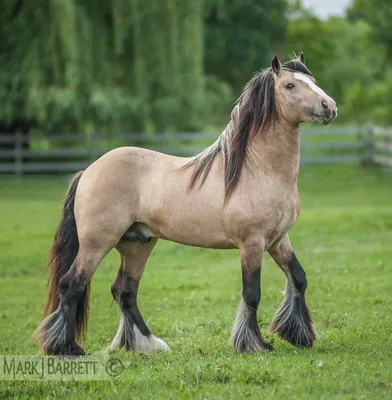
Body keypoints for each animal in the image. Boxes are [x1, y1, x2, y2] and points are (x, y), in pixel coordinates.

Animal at [33, 54, 336, 356]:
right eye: (289, 85)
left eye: (313, 80)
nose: (329, 107)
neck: (258, 170)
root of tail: (88, 171)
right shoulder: (252, 243)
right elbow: (252, 293)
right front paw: (254, 344)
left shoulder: (278, 240)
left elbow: (298, 278)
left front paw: (299, 335)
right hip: (97, 243)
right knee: (73, 285)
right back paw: (67, 347)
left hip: (136, 245)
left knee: (124, 291)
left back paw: (147, 344)